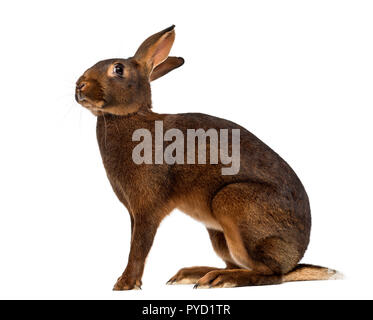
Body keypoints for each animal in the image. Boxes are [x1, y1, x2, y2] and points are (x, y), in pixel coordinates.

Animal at [74, 25, 338, 290]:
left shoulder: (147, 209)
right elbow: (133, 243)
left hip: (233, 205)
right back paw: (195, 275)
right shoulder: (133, 213)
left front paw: (125, 284)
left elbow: (139, 247)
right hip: (218, 233)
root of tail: (294, 259)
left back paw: (221, 279)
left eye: (118, 69)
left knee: (268, 274)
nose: (79, 85)